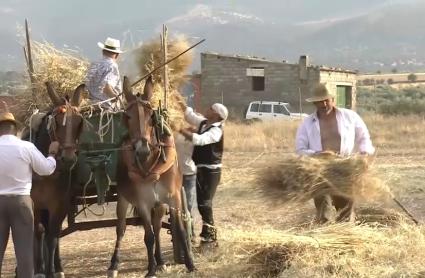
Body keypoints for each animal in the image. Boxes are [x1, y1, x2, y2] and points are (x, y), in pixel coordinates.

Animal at [30, 84, 84, 278]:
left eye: (79, 122)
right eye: (57, 122)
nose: (68, 159)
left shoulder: (60, 204)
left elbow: (53, 237)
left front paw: (51, 271)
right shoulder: (34, 204)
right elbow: (37, 232)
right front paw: (39, 270)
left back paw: (57, 267)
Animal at [107, 76, 195, 278]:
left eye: (151, 115)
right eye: (128, 116)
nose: (142, 149)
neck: (151, 164)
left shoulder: (173, 198)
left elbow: (179, 230)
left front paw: (190, 264)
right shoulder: (143, 203)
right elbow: (148, 236)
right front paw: (150, 269)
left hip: (160, 204)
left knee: (157, 225)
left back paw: (161, 261)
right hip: (123, 199)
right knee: (120, 228)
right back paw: (114, 264)